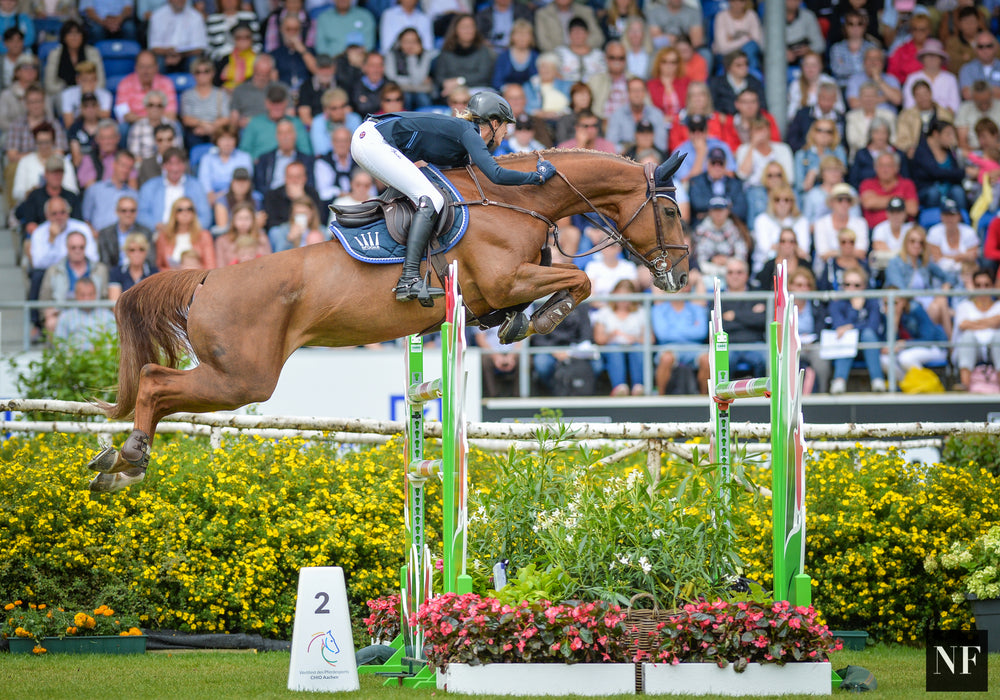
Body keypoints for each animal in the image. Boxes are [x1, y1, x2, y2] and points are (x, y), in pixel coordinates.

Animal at [87, 149, 689, 492]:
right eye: (669, 210)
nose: (680, 275)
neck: (512, 200)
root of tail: (208, 279)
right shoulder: (506, 279)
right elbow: (578, 280)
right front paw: (540, 320)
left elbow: (564, 283)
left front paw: (520, 323)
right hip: (243, 378)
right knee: (155, 381)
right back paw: (129, 458)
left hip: (236, 376)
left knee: (156, 384)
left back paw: (123, 463)